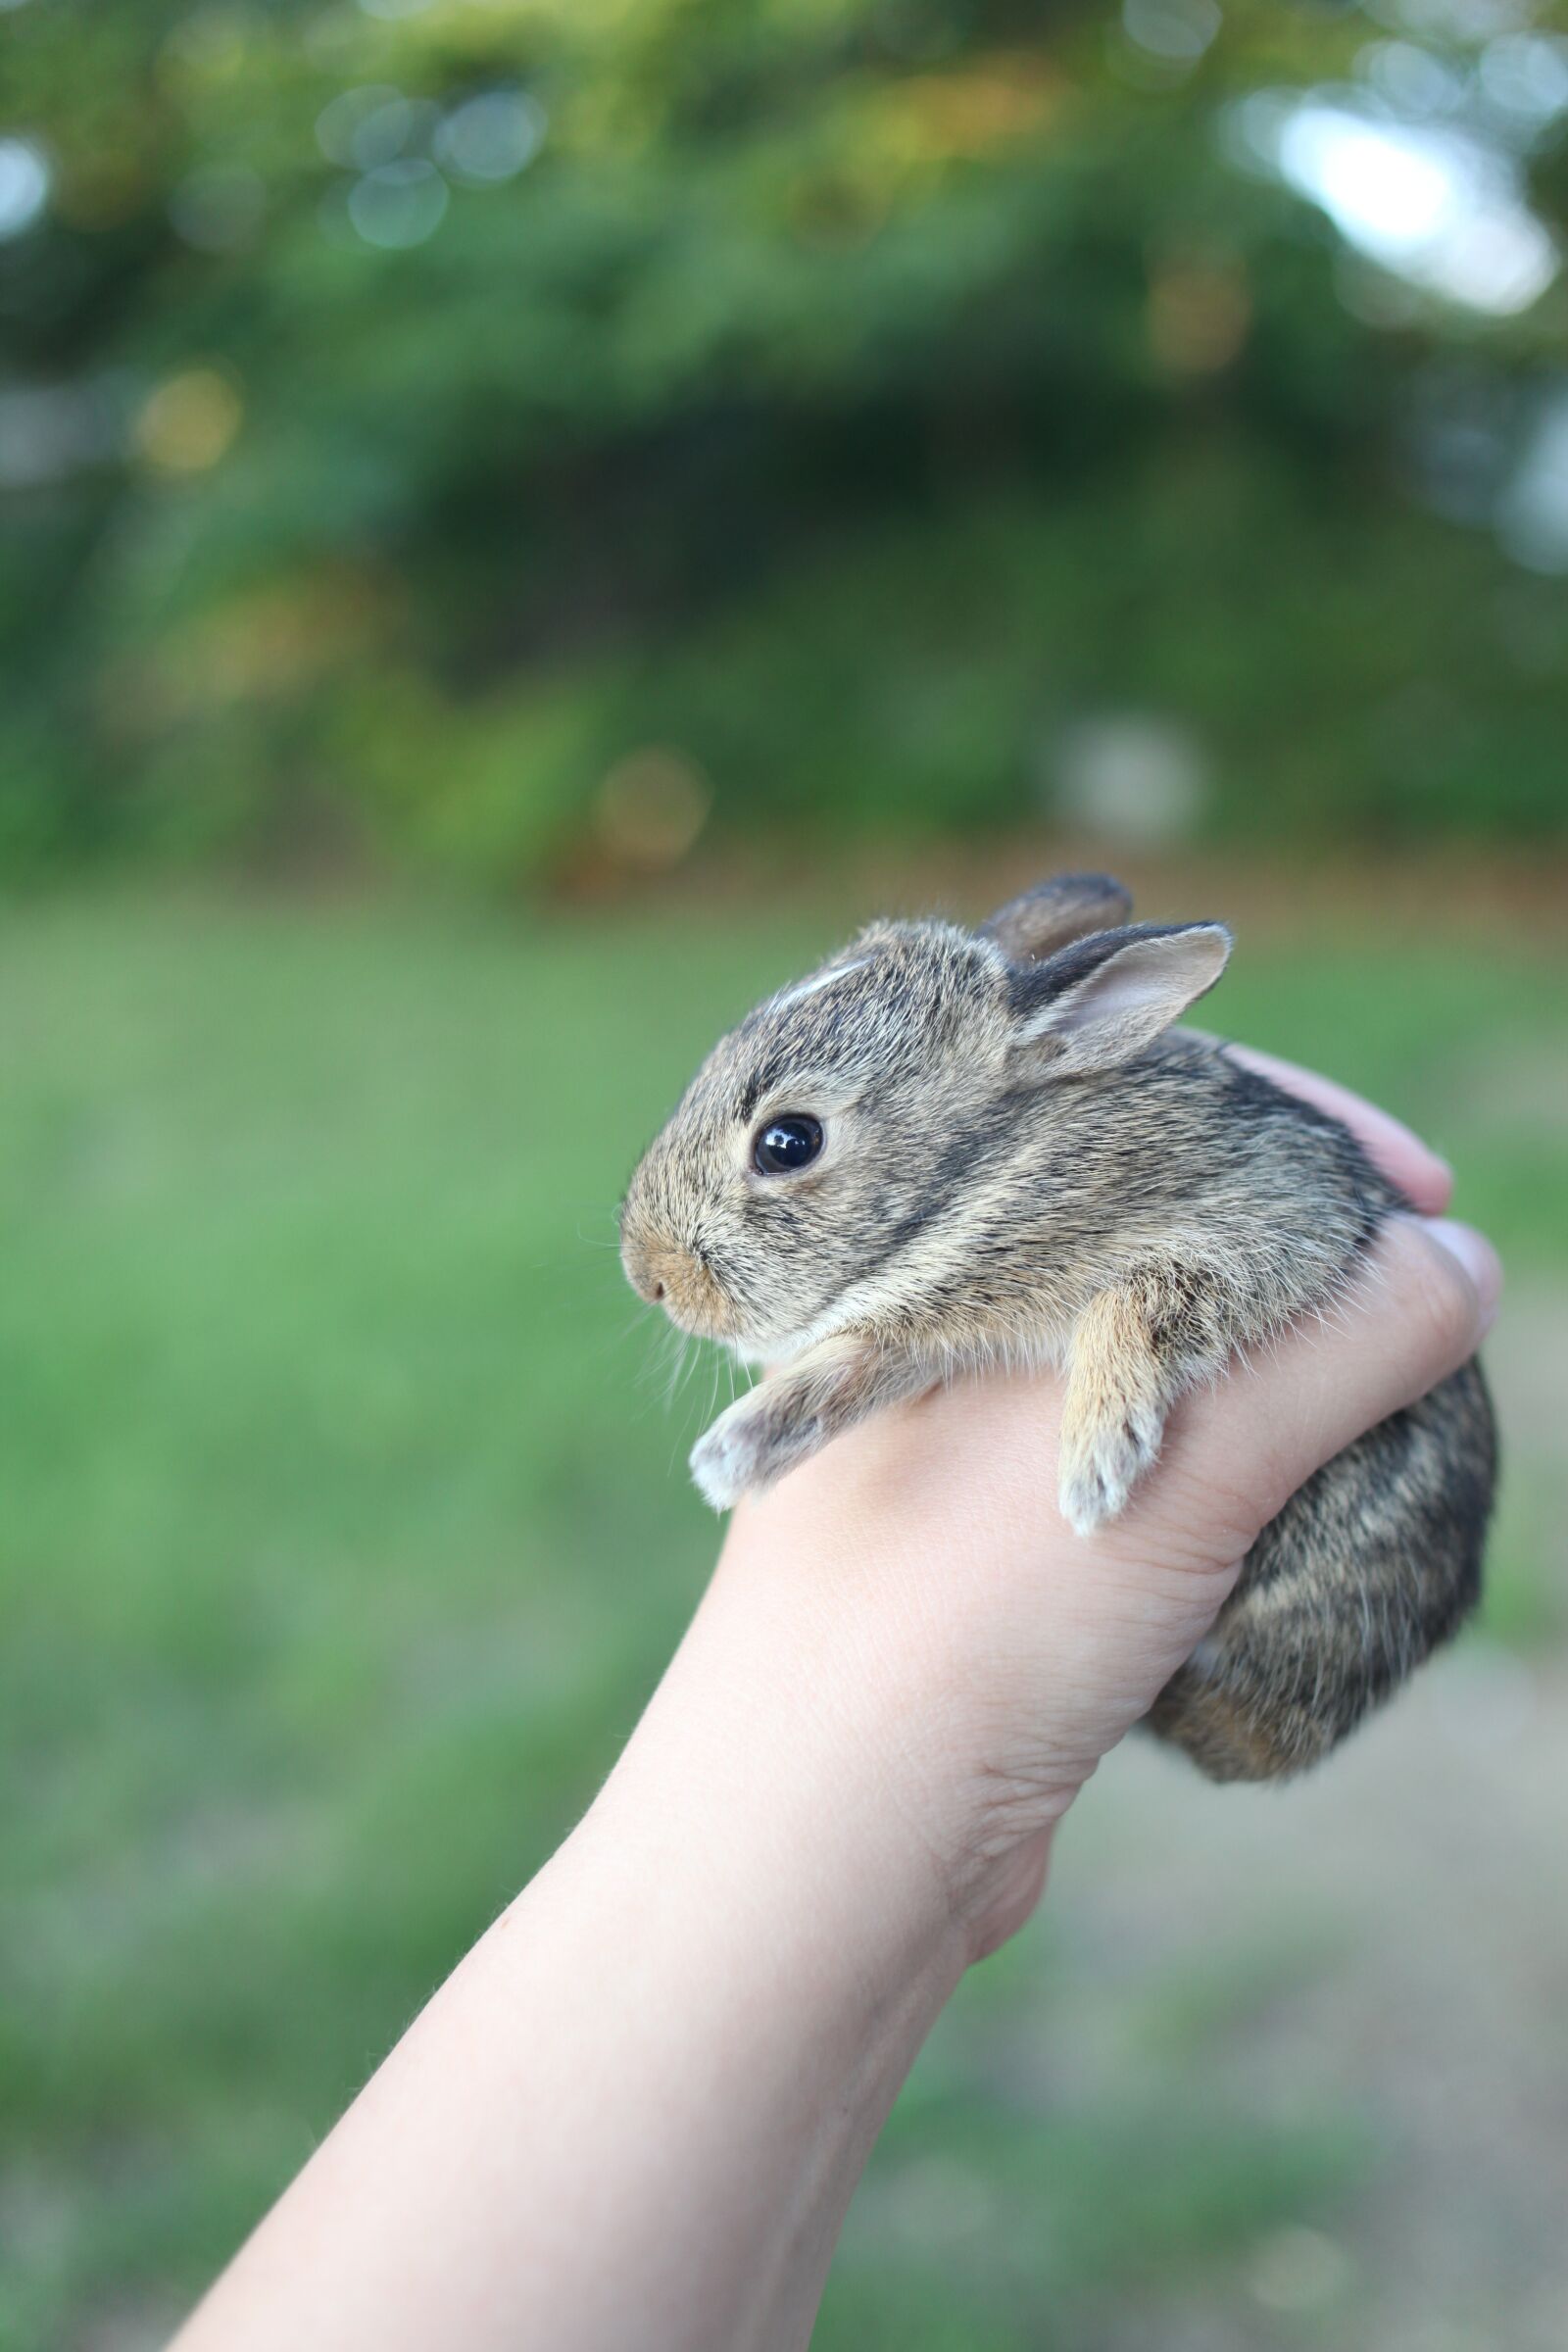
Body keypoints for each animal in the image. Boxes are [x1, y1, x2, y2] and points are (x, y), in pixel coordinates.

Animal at [620, 872, 1496, 1782]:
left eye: (789, 1142)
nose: (649, 1278)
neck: (990, 1170)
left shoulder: (1278, 1219)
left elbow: (1135, 1305)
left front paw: (1096, 1467)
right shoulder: (920, 1324)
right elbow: (863, 1356)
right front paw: (740, 1450)